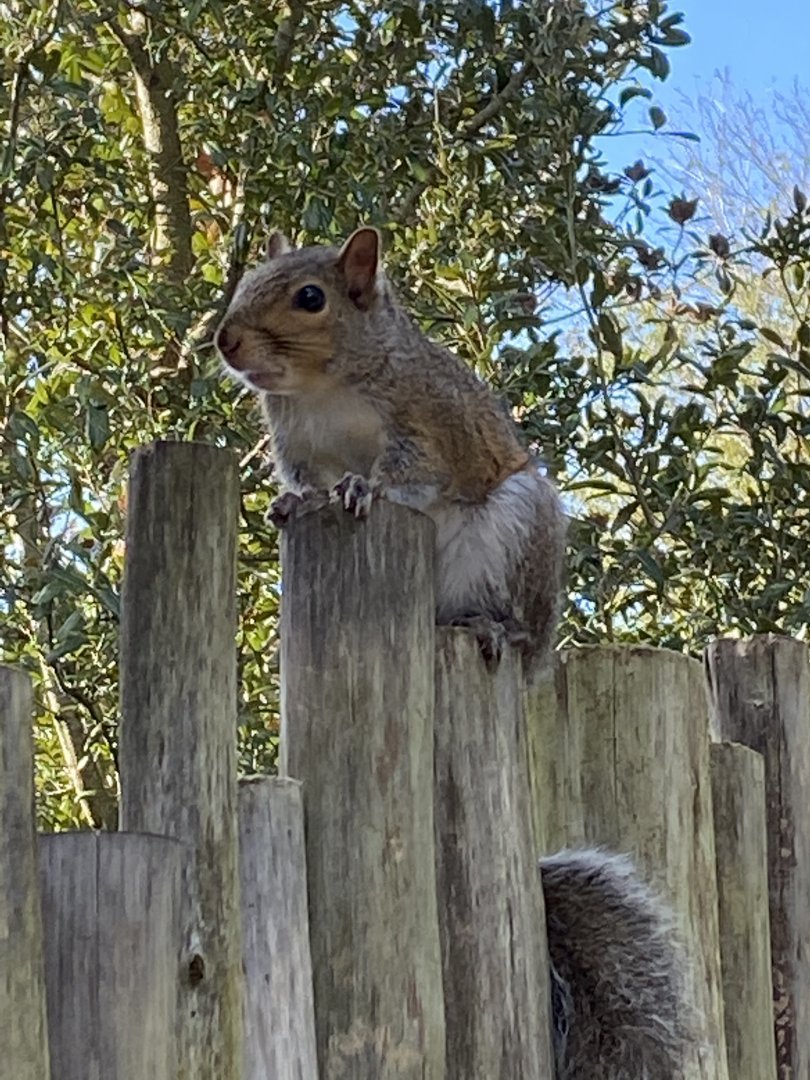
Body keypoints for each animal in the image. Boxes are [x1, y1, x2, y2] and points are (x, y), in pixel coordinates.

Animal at [215, 226, 566, 672]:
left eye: (310, 298)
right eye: (247, 282)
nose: (225, 340)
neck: (322, 387)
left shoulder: (429, 426)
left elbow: (414, 470)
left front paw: (363, 486)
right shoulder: (297, 443)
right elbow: (308, 480)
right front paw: (298, 500)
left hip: (518, 527)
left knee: (514, 618)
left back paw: (495, 626)